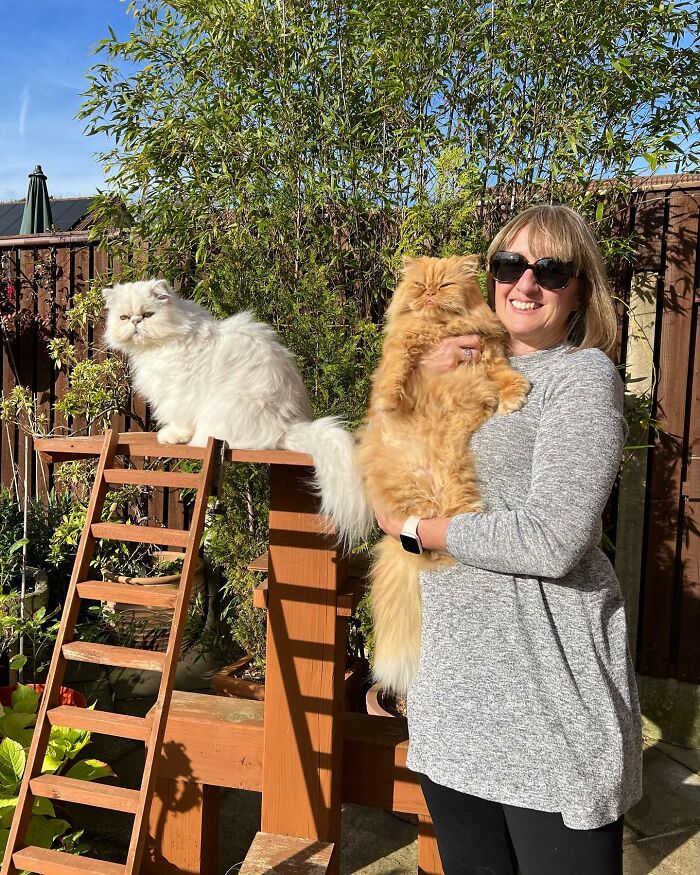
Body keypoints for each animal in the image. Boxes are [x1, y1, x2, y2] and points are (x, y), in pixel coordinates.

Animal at [102, 278, 372, 540]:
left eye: (147, 315)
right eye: (124, 317)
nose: (135, 322)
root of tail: (288, 427)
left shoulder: (180, 393)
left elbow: (180, 422)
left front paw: (171, 437)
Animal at [356, 255, 532, 700]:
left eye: (446, 285)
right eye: (422, 287)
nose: (432, 294)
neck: (442, 330)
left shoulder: (485, 349)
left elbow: (502, 372)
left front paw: (514, 395)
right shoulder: (404, 343)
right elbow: (396, 369)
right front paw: (389, 399)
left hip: (459, 493)